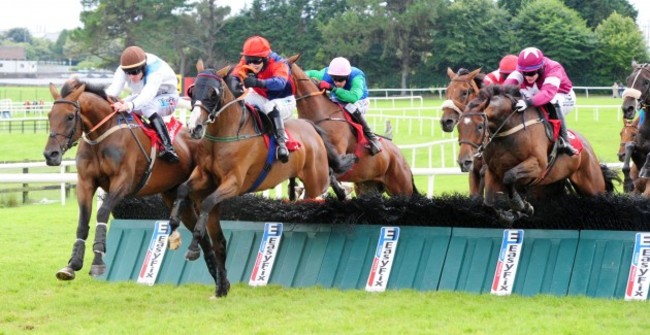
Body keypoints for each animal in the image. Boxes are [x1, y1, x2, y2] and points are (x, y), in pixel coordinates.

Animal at [40, 79, 211, 284]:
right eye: (50, 115)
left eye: (70, 117)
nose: (50, 154)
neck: (101, 136)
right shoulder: (85, 182)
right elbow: (83, 221)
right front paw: (72, 264)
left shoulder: (122, 183)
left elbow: (102, 213)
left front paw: (98, 261)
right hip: (173, 195)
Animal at [165, 61, 352, 298]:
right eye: (192, 90)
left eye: (213, 93)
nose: (194, 127)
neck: (225, 134)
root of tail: (311, 126)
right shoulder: (204, 176)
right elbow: (182, 189)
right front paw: (173, 228)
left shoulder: (233, 183)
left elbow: (207, 203)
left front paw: (193, 247)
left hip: (314, 182)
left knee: (321, 189)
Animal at [468, 85, 616, 224]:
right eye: (462, 126)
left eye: (480, 126)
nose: (468, 159)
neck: (508, 131)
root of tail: (587, 147)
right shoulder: (493, 170)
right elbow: (488, 204)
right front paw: (510, 214)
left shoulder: (537, 166)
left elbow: (510, 177)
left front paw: (520, 205)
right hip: (549, 187)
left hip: (592, 185)